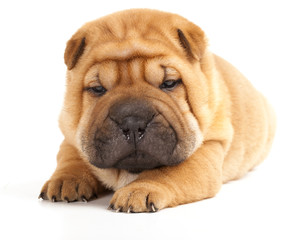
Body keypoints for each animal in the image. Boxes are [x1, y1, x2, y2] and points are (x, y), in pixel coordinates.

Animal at [38, 8, 276, 212]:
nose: (132, 122)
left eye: (169, 83)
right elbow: (71, 158)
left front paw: (139, 190)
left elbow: (167, 172)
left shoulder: (207, 148)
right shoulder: (71, 134)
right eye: (98, 89)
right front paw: (65, 180)